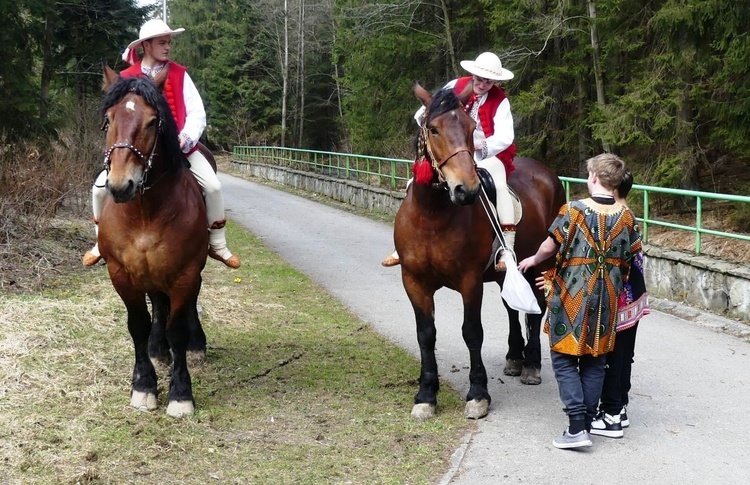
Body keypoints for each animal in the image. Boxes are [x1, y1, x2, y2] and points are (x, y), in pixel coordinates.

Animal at [96, 64, 212, 418]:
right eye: (108, 120)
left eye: (151, 121)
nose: (121, 185)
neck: (145, 212)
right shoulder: (121, 273)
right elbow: (138, 324)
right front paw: (144, 385)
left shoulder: (186, 272)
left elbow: (178, 329)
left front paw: (181, 393)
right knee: (159, 305)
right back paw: (158, 350)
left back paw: (195, 345)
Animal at [396, 81, 568, 418]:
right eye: (433, 128)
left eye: (471, 127)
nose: (467, 190)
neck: (432, 215)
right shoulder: (413, 280)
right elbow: (426, 334)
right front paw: (426, 394)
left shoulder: (470, 281)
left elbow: (472, 332)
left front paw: (478, 393)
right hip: (506, 271)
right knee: (512, 308)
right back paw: (515, 357)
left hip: (540, 265)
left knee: (537, 309)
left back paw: (531, 364)